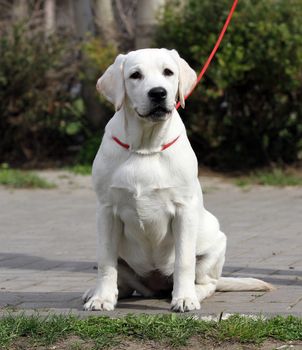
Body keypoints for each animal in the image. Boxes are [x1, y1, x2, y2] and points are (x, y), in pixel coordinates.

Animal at [83, 47, 274, 312]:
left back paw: (193, 293)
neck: (146, 147)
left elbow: (183, 261)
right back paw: (98, 292)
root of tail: (155, 287)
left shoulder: (184, 210)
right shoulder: (106, 210)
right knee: (125, 284)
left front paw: (184, 299)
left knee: (208, 282)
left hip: (216, 243)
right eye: (135, 75)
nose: (158, 93)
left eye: (168, 72)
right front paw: (101, 298)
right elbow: (105, 262)